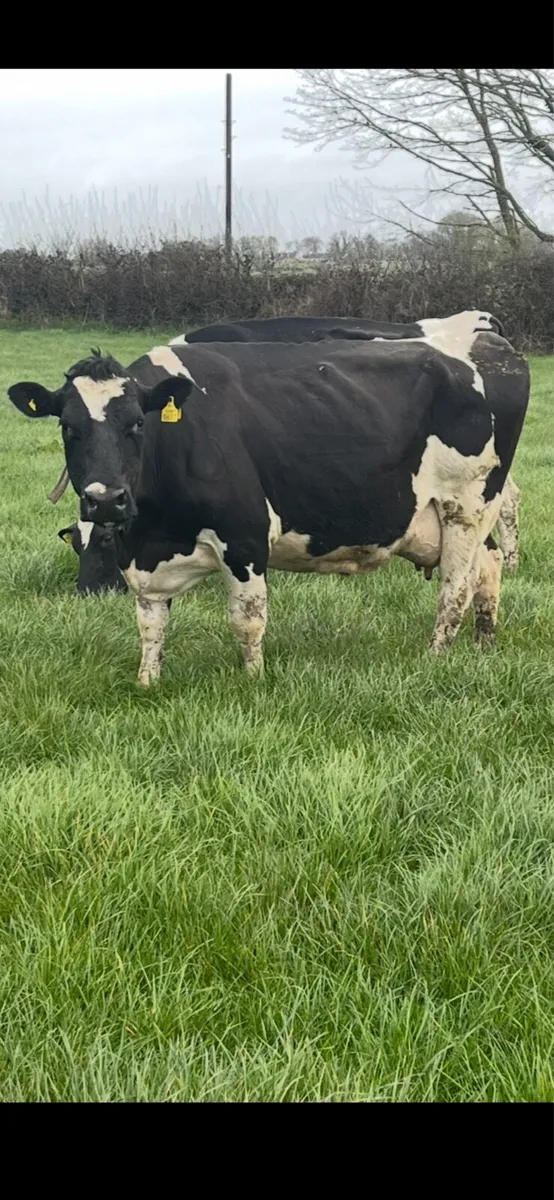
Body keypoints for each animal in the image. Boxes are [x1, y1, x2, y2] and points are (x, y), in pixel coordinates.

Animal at [9, 326, 529, 685]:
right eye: (68, 427)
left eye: (137, 423)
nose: (105, 499)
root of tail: (493, 345)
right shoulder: (146, 559)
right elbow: (150, 625)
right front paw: (147, 682)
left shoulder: (244, 536)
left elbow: (248, 620)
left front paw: (254, 681)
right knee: (489, 565)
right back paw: (484, 644)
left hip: (467, 504)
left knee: (455, 589)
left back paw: (435, 656)